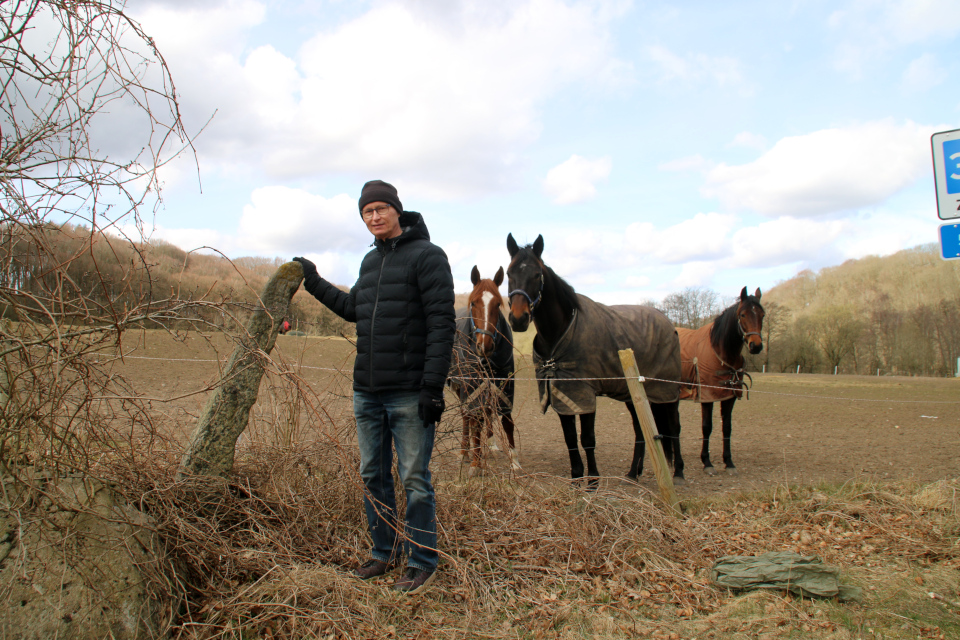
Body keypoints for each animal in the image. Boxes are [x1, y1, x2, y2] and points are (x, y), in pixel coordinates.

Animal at [448, 264, 516, 476]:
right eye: (474, 303)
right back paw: (465, 451)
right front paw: (476, 463)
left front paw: (514, 461)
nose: (484, 346)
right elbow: (475, 419)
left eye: (498, 304)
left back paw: (490, 444)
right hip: (461, 386)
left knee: (486, 412)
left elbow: (506, 418)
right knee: (467, 416)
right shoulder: (471, 385)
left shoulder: (504, 382)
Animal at [676, 288, 764, 472]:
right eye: (743, 314)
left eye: (762, 314)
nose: (756, 346)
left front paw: (728, 461)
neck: (721, 351)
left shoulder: (729, 396)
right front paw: (707, 462)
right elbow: (707, 427)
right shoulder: (706, 396)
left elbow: (727, 428)